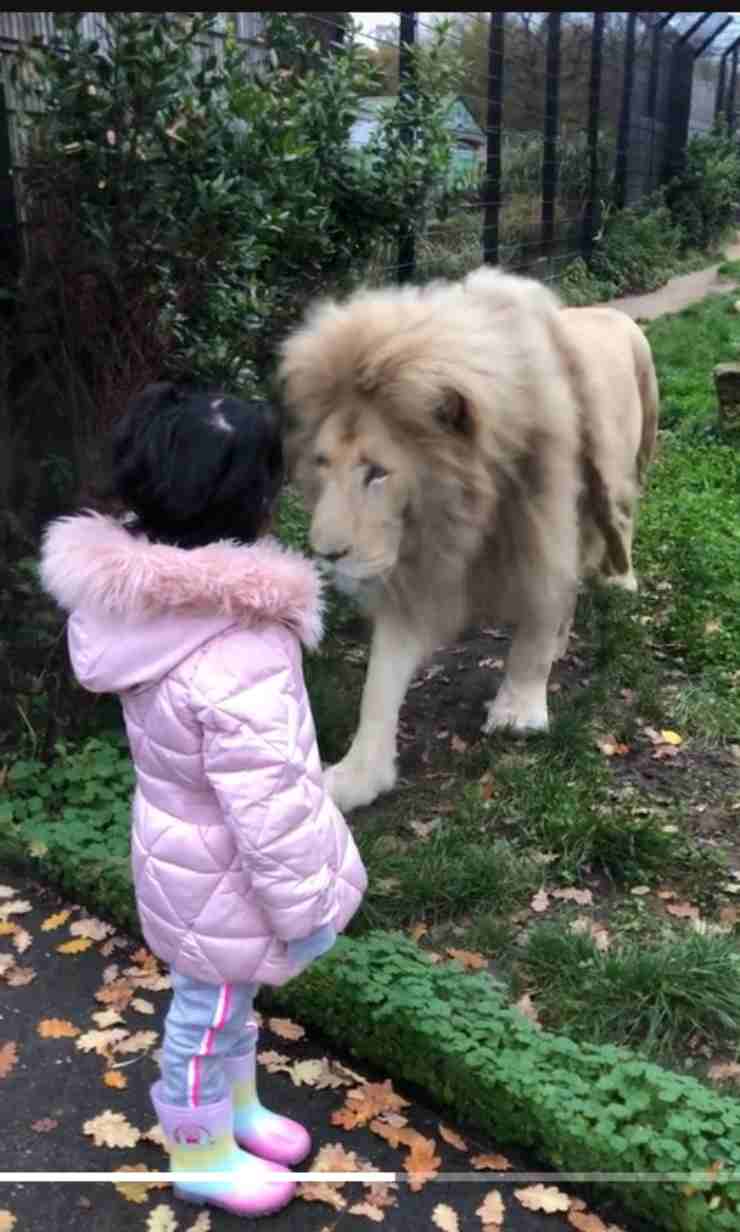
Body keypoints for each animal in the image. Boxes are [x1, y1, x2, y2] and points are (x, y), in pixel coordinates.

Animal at [278, 264, 659, 813]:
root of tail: (612, 313)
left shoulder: (543, 531)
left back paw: (620, 583)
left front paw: (519, 711)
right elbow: (380, 683)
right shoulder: (417, 577)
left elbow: (536, 625)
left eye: (378, 472)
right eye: (323, 463)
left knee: (621, 525)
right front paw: (357, 775)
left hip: (635, 453)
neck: (460, 512)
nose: (326, 555)